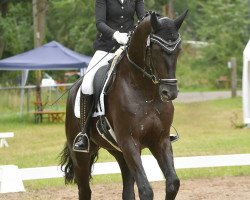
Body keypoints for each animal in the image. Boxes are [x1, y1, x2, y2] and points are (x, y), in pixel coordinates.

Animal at [61, 10, 188, 200]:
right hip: (81, 155)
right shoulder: (129, 141)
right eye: (157, 50)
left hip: (119, 152)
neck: (145, 92)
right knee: (84, 190)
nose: (170, 93)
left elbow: (173, 183)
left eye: (178, 50)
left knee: (127, 190)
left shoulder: (160, 140)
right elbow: (145, 189)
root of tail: (73, 88)